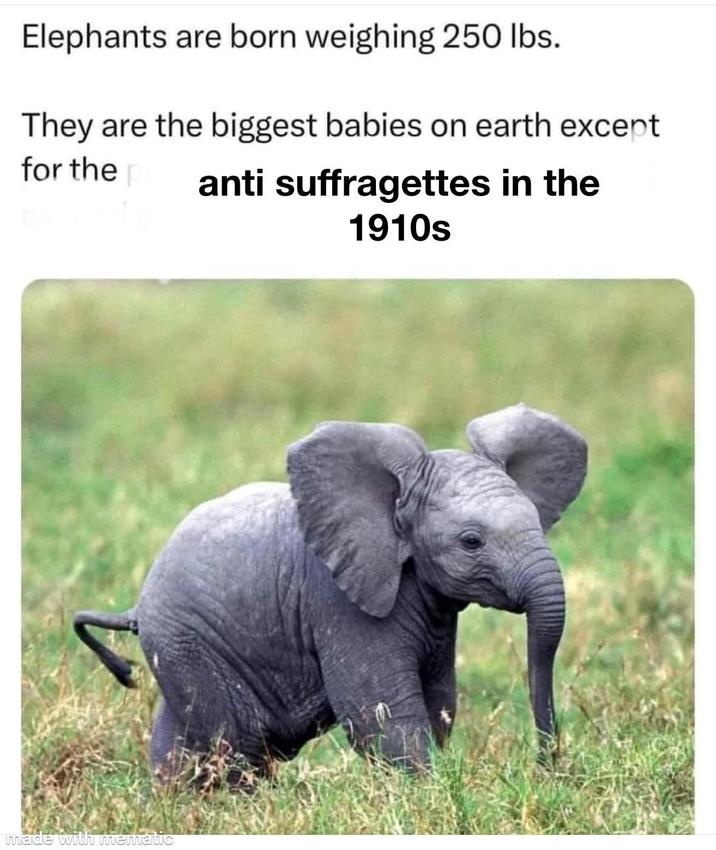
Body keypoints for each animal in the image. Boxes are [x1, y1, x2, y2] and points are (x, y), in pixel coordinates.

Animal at [74, 403, 587, 786]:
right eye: (471, 542)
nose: (545, 767)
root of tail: (138, 605)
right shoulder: (339, 603)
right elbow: (380, 713)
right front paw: (430, 791)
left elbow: (440, 701)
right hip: (189, 641)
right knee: (235, 739)